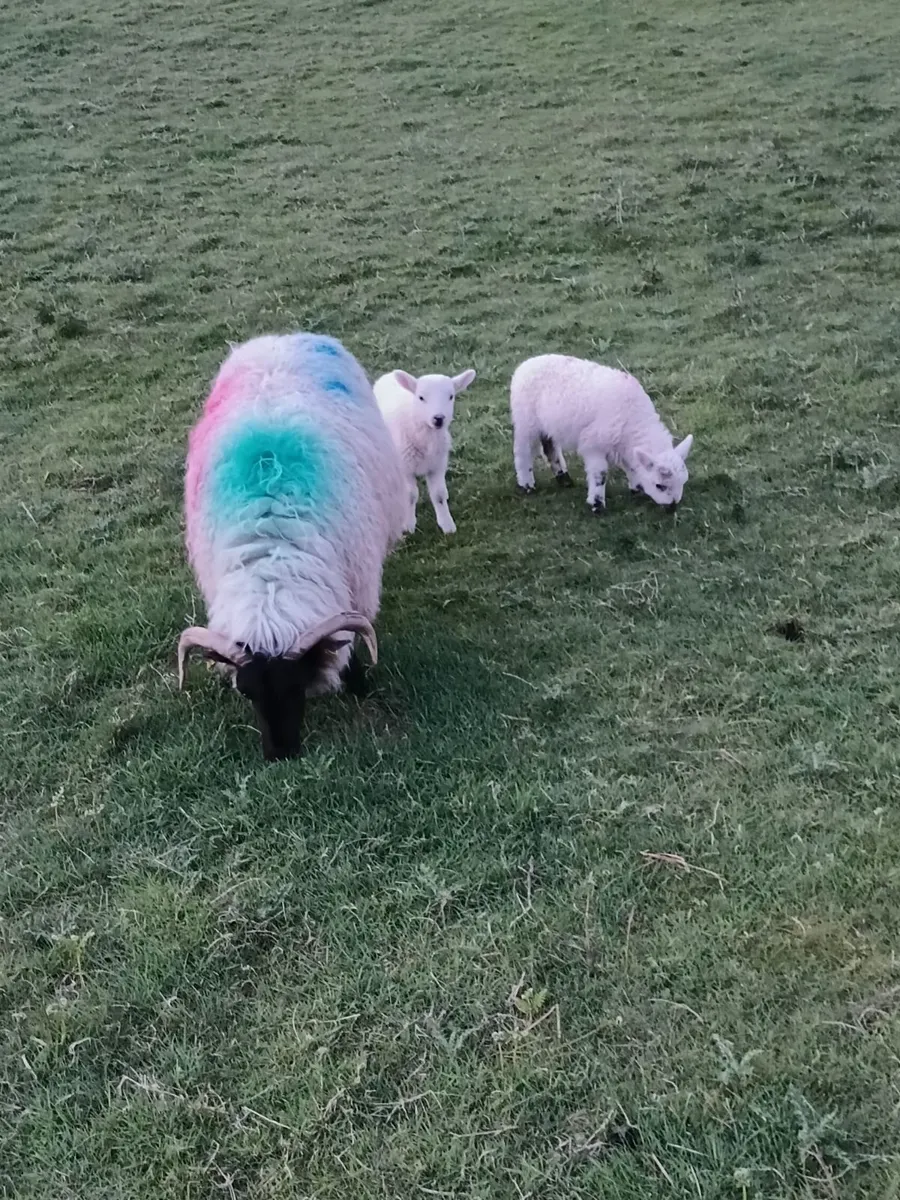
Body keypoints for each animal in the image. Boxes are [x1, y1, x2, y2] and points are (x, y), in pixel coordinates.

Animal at [372, 367, 476, 535]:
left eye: (451, 396)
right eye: (421, 397)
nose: (438, 418)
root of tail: (388, 375)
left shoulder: (437, 466)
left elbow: (439, 495)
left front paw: (447, 524)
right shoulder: (405, 468)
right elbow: (411, 495)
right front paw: (408, 525)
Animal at [510, 354, 694, 513]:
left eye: (683, 482)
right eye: (659, 486)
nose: (672, 507)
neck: (634, 418)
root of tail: (525, 365)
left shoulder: (621, 444)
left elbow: (631, 465)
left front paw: (636, 488)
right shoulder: (594, 445)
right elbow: (600, 474)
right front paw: (597, 504)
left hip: (547, 425)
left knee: (550, 447)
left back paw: (564, 479)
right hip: (526, 421)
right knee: (522, 452)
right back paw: (527, 484)